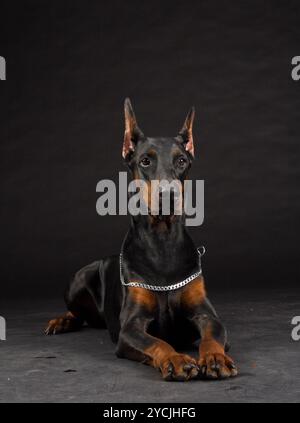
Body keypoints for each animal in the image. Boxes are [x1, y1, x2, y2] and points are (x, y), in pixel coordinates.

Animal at [45, 100, 237, 384]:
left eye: (181, 161)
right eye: (145, 161)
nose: (168, 195)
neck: (162, 243)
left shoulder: (206, 314)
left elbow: (212, 335)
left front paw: (215, 357)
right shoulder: (130, 327)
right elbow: (158, 343)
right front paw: (176, 359)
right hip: (78, 279)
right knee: (78, 313)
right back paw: (62, 321)